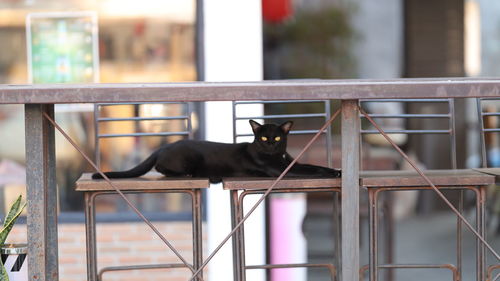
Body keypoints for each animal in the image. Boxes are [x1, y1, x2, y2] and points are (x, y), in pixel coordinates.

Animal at [92, 119, 342, 183]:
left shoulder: (292, 164)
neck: (276, 156)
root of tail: (165, 145)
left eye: (278, 138)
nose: (271, 143)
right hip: (187, 157)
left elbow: (313, 166)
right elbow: (312, 171)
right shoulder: (282, 170)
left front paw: (337, 171)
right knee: (162, 168)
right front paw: (331, 173)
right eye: (263, 137)